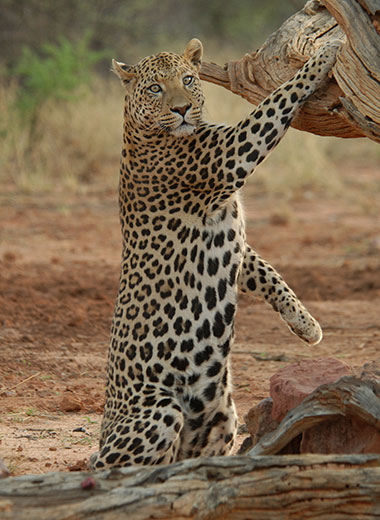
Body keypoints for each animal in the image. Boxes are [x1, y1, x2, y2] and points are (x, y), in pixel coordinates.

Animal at [91, 36, 342, 468]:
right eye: (155, 88)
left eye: (189, 80)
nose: (181, 109)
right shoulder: (231, 153)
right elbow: (278, 98)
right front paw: (323, 55)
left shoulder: (235, 238)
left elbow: (266, 271)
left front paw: (306, 325)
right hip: (160, 410)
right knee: (117, 469)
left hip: (223, 417)